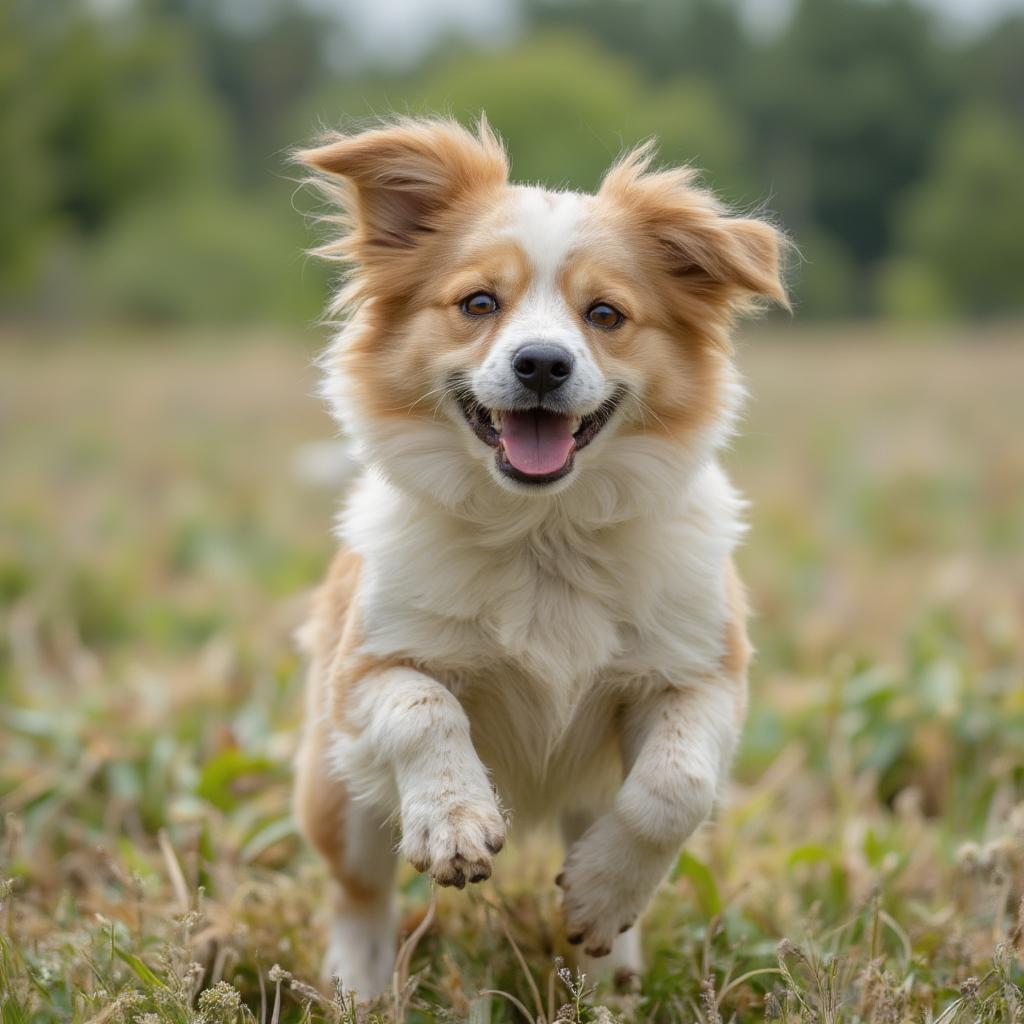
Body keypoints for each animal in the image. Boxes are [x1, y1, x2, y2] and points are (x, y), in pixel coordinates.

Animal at [292, 116, 786, 995]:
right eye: (478, 304)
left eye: (606, 314)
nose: (543, 363)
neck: (541, 532)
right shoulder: (368, 667)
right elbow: (425, 709)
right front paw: (453, 820)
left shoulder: (700, 674)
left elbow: (675, 786)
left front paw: (601, 893)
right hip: (337, 789)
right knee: (359, 894)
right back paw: (360, 988)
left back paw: (610, 971)